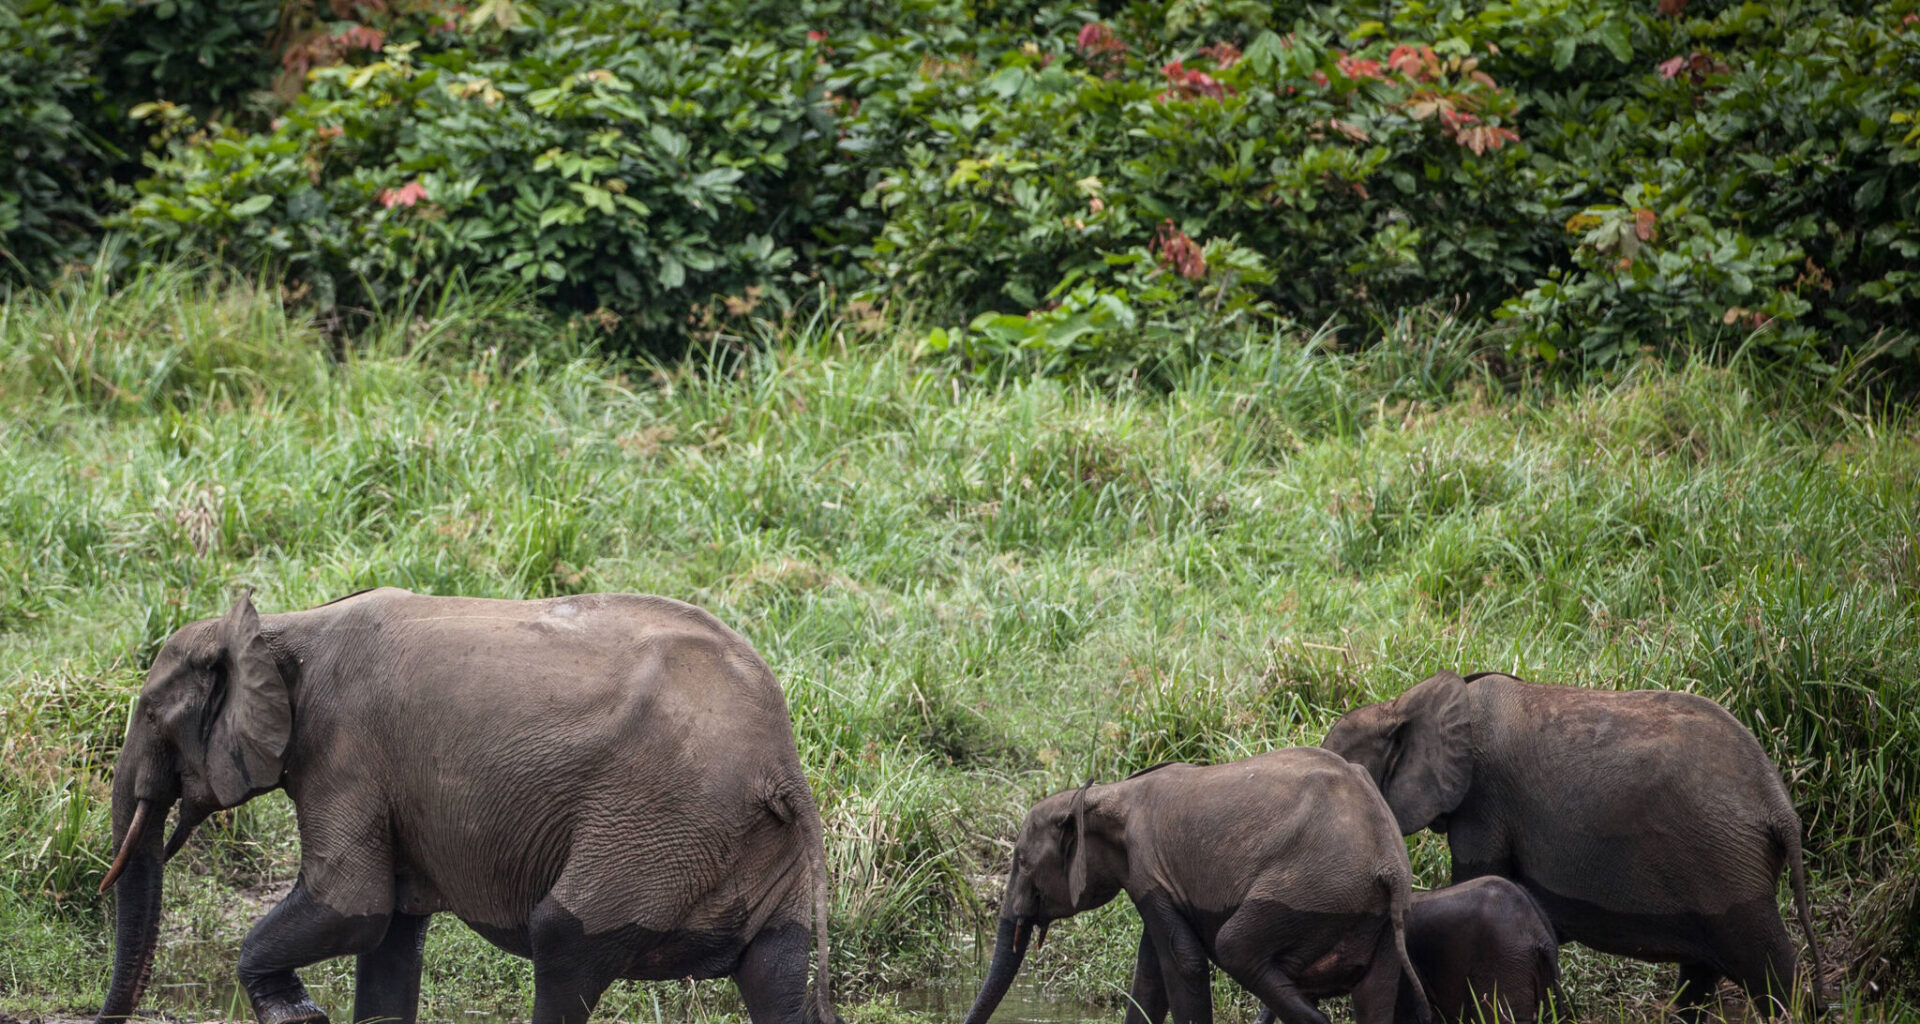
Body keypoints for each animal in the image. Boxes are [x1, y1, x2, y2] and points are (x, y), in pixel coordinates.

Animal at [94, 588, 836, 1024]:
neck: (277, 625)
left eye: (150, 713)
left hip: (657, 823)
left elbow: (351, 907)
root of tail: (781, 764)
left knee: (563, 941)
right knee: (775, 973)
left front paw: (294, 1014)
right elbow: (389, 935)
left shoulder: (344, 753)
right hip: (740, 841)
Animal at [959, 747, 1434, 1024]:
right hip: (1377, 915)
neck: (1107, 794)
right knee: (1374, 996)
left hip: (1312, 889)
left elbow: (1182, 961)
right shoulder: (1153, 881)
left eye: (1021, 861)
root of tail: (1388, 864)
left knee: (1236, 947)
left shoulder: (1147, 866)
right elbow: (1150, 974)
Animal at [1321, 670, 1825, 1021]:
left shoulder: (1483, 800)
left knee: (1768, 967)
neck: (1402, 703)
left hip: (1725, 863)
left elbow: (1478, 875)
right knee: (1702, 973)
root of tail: (1779, 806)